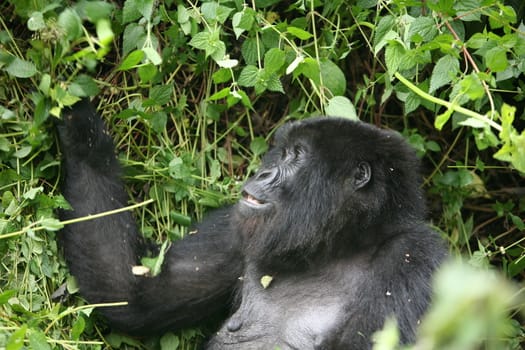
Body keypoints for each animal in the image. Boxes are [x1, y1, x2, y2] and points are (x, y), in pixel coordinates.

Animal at [56, 99, 442, 350]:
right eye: (281, 152)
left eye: (296, 156)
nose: (262, 173)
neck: (338, 245)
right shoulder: (239, 231)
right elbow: (133, 292)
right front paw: (81, 133)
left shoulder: (416, 256)